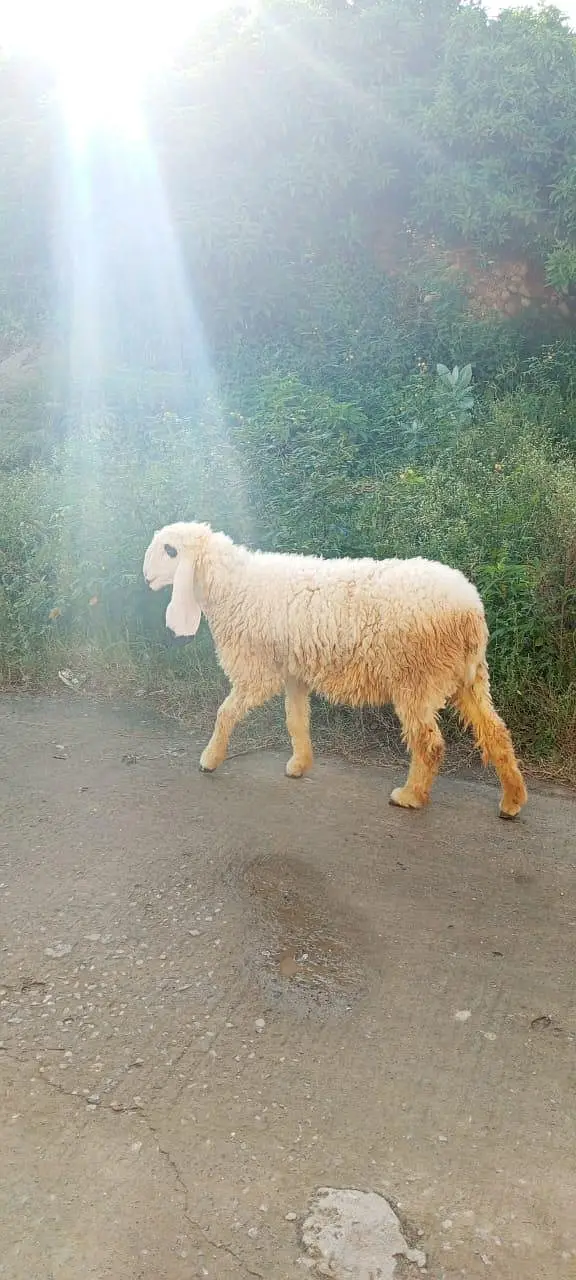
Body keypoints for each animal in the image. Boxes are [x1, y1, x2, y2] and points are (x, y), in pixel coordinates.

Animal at [143, 521, 527, 819]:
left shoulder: (258, 671)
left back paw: (411, 796)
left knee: (429, 743)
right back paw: (512, 801)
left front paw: (209, 760)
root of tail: (470, 610)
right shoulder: (294, 672)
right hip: (469, 676)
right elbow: (295, 719)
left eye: (169, 551)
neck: (232, 586)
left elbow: (225, 713)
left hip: (416, 677)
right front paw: (299, 764)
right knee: (496, 732)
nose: (145, 577)